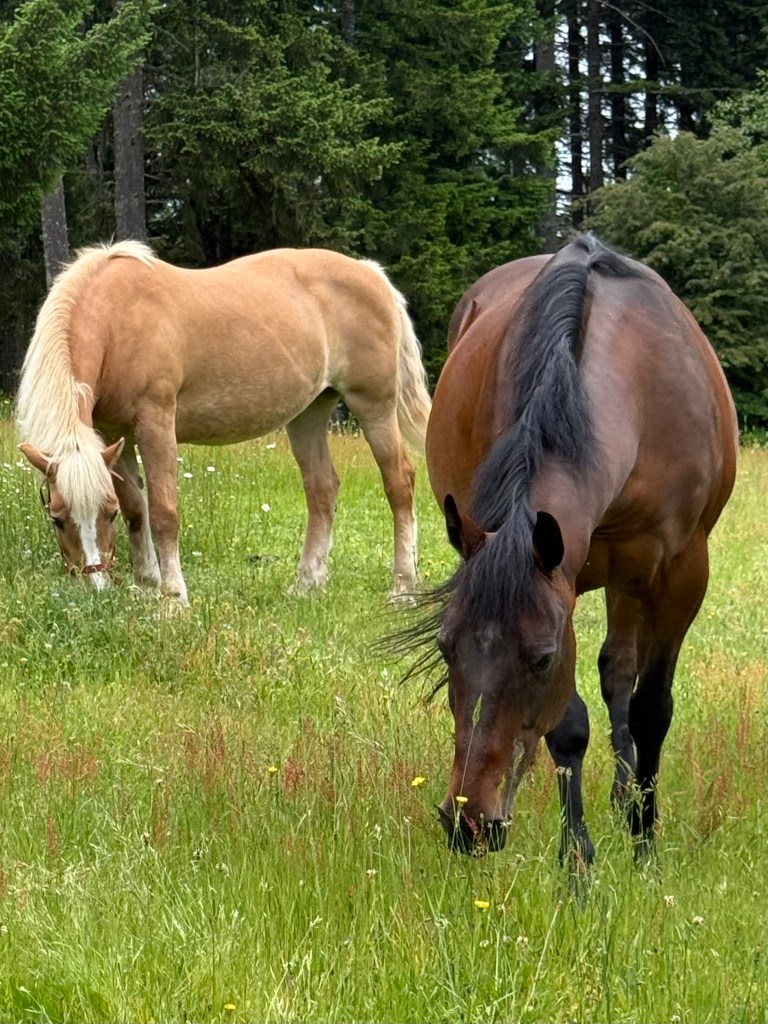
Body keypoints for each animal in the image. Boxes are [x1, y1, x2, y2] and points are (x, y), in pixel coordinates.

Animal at [16, 242, 431, 605]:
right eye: (57, 518)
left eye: (107, 514)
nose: (96, 587)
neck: (117, 321)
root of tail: (370, 272)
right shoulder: (116, 434)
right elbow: (138, 510)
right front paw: (146, 587)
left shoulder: (155, 423)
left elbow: (163, 512)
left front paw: (173, 599)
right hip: (309, 413)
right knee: (321, 488)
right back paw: (306, 583)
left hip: (374, 404)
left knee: (399, 482)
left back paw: (402, 587)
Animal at [418, 234, 737, 861]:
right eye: (445, 648)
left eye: (541, 658)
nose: (468, 823)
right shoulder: (562, 577)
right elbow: (567, 727)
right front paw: (578, 856)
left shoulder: (682, 575)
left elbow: (651, 708)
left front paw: (644, 842)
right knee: (614, 673)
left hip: (633, 575)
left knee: (622, 674)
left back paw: (626, 799)